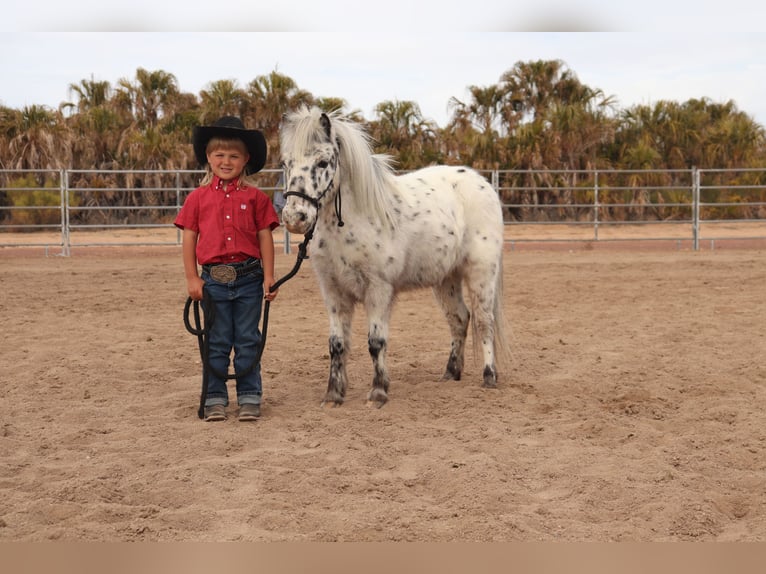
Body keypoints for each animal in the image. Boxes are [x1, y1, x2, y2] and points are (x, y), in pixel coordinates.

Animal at [280, 104, 508, 410]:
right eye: (286, 163)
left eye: (323, 163)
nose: (295, 218)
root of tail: (482, 184)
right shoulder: (334, 293)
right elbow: (336, 345)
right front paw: (333, 395)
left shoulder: (379, 290)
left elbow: (376, 342)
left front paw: (378, 393)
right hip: (446, 280)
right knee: (459, 319)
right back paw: (450, 373)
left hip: (481, 273)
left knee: (484, 321)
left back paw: (488, 377)